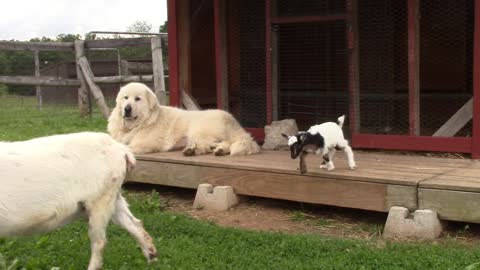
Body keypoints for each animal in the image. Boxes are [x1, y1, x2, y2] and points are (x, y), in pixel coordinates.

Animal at [0, 133, 158, 270]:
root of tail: (122, 150)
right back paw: (152, 259)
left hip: (100, 199)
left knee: (99, 242)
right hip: (113, 196)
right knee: (135, 224)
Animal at [107, 81, 260, 156]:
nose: (127, 109)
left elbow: (125, 147)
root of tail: (232, 120)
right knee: (209, 146)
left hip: (198, 130)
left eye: (137, 99)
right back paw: (196, 150)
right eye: (125, 98)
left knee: (219, 143)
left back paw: (213, 150)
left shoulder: (145, 143)